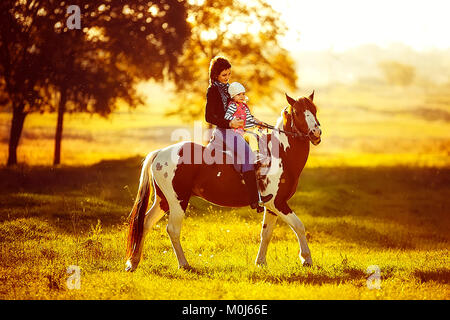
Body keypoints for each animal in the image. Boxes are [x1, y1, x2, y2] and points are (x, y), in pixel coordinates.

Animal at [125, 91, 322, 272]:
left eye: (314, 109)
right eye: (297, 112)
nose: (316, 133)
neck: (279, 154)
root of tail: (160, 152)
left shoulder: (272, 206)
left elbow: (266, 233)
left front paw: (260, 263)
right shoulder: (277, 202)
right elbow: (299, 226)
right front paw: (306, 260)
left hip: (163, 201)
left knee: (145, 223)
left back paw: (133, 262)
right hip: (177, 201)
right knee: (172, 229)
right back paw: (183, 264)